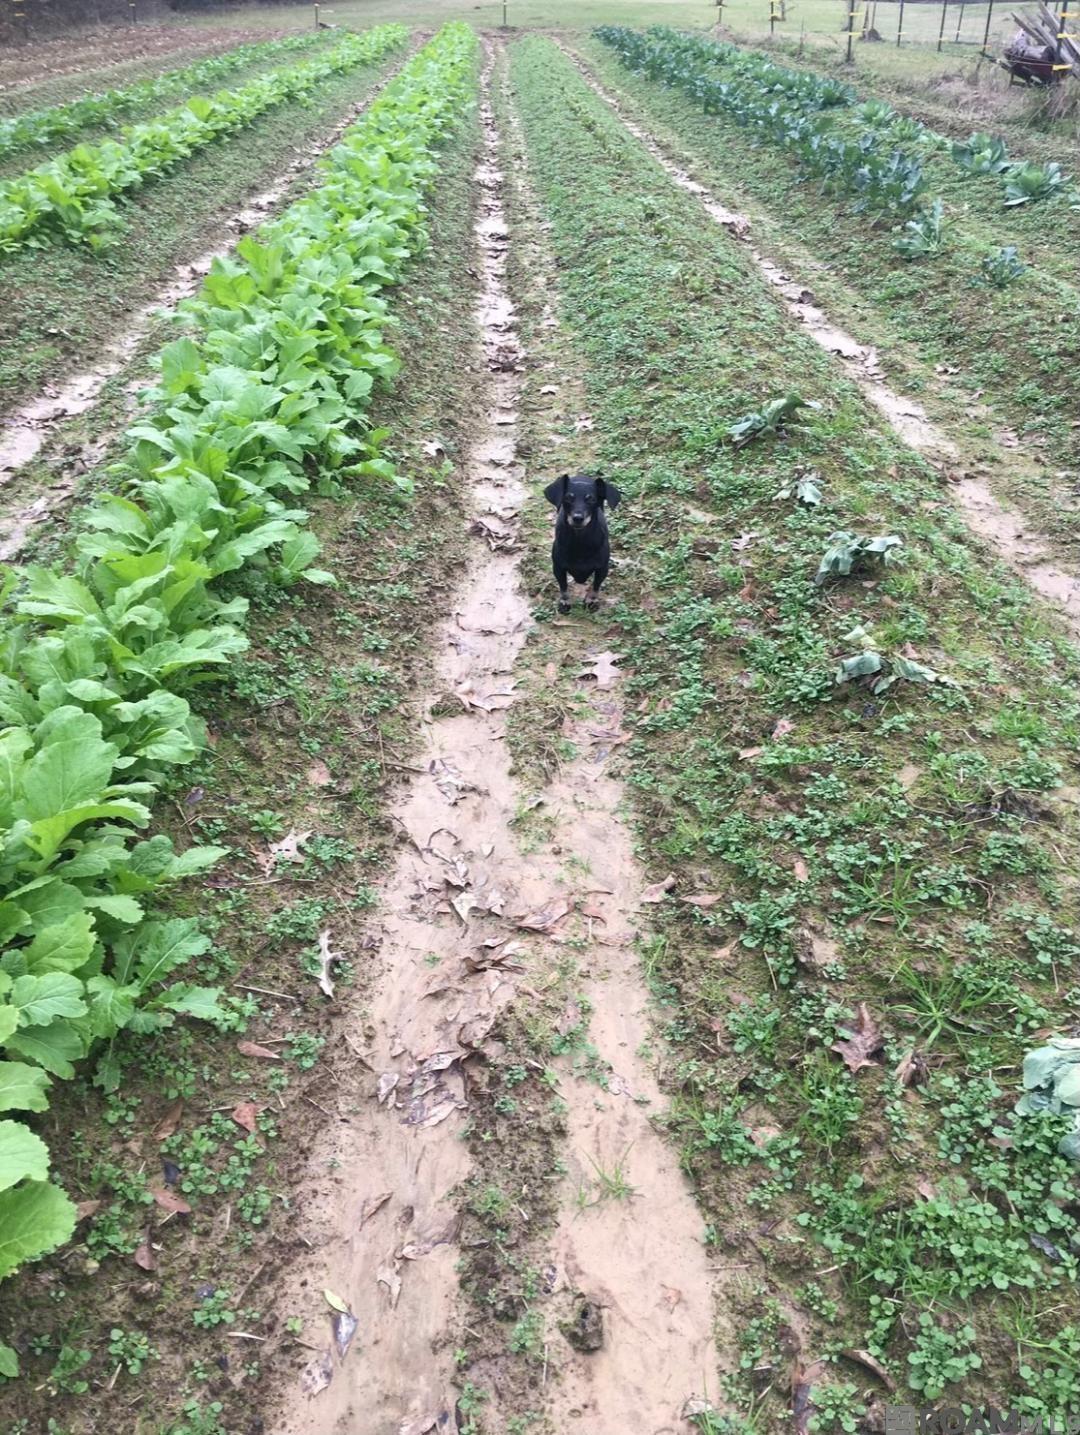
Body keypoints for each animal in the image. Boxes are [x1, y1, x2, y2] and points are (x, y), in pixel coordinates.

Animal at [542, 473, 619, 614]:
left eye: (591, 499)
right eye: (568, 498)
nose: (578, 518)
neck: (580, 542)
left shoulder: (602, 569)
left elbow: (596, 586)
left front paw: (591, 600)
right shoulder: (558, 568)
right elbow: (563, 587)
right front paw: (565, 602)